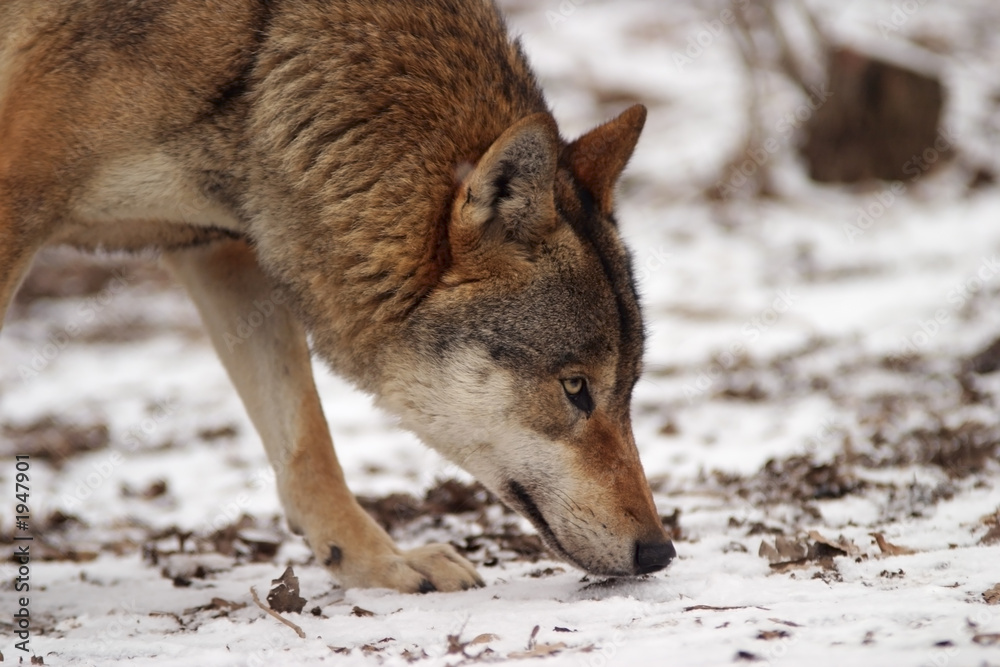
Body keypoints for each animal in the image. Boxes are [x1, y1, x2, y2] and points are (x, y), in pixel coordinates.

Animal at [0, 0, 676, 592]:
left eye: (627, 389)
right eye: (575, 388)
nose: (660, 552)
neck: (262, 59)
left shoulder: (222, 249)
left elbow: (307, 442)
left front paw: (383, 564)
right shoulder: (17, 214)